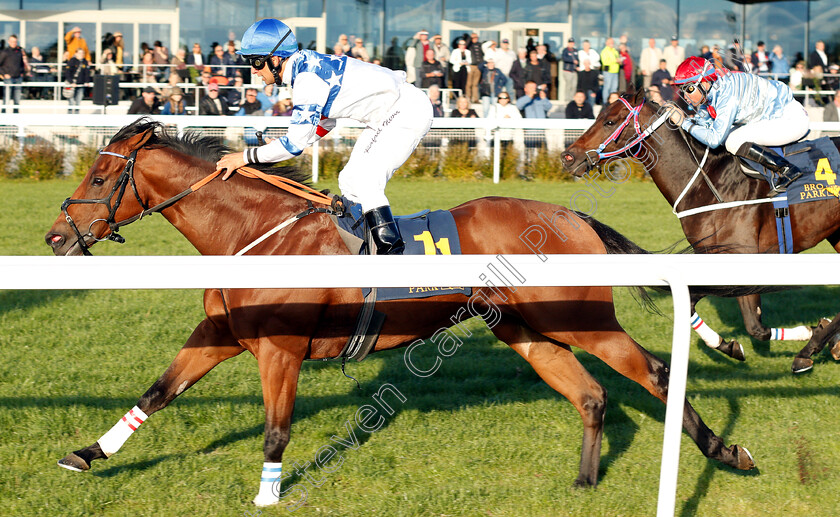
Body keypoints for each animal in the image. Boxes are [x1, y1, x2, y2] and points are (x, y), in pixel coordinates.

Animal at [46, 119, 756, 506]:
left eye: (101, 180)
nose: (56, 238)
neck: (254, 232)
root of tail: (567, 212)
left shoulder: (281, 348)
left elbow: (277, 429)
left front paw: (267, 494)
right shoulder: (223, 332)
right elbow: (158, 391)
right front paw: (87, 453)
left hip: (578, 318)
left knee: (654, 374)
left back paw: (726, 451)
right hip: (525, 330)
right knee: (589, 394)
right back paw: (584, 481)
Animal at [560, 85, 840, 370]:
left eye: (609, 121)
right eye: (597, 116)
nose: (568, 156)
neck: (710, 185)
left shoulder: (743, 255)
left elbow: (755, 327)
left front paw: (808, 332)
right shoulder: (710, 256)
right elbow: (692, 304)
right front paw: (727, 345)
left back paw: (810, 348)